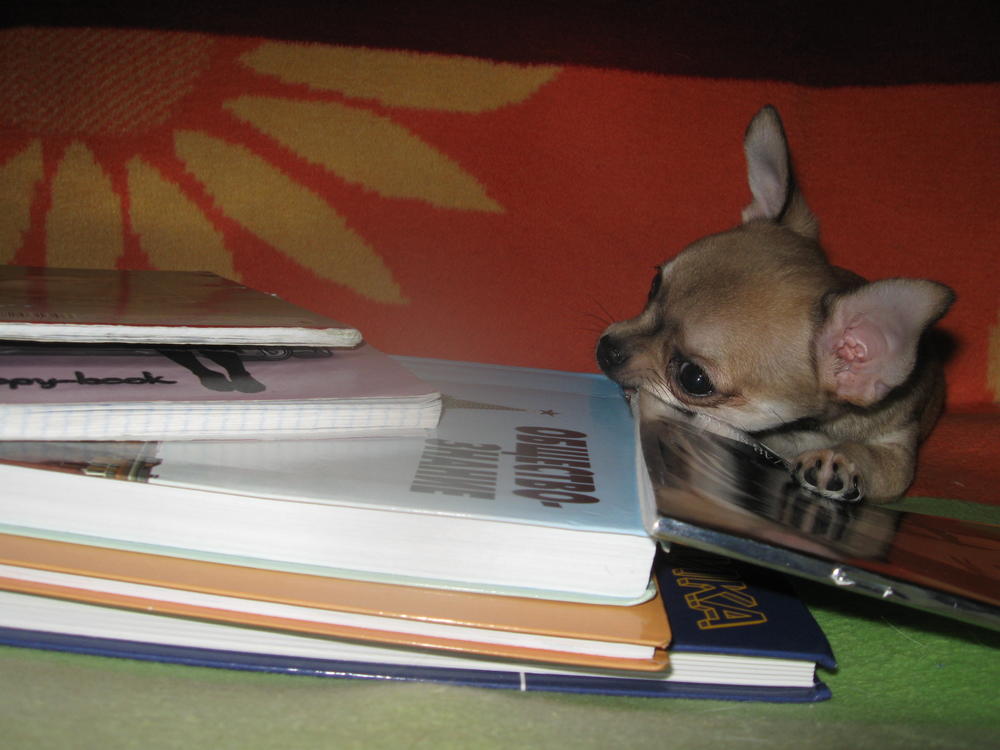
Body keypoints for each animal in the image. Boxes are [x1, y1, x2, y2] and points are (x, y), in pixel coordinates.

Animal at [596, 106, 954, 503]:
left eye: (695, 379)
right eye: (654, 284)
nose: (606, 349)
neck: (798, 433)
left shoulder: (899, 454)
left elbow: (877, 460)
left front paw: (840, 459)